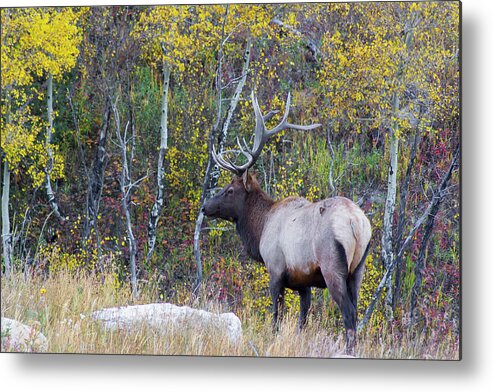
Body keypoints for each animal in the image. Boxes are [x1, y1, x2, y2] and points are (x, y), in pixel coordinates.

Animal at [202, 91, 370, 352]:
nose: (205, 206)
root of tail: (357, 224)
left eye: (229, 190)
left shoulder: (276, 269)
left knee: (349, 313)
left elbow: (276, 316)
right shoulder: (304, 282)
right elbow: (303, 320)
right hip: (358, 269)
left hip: (333, 266)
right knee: (357, 311)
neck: (260, 227)